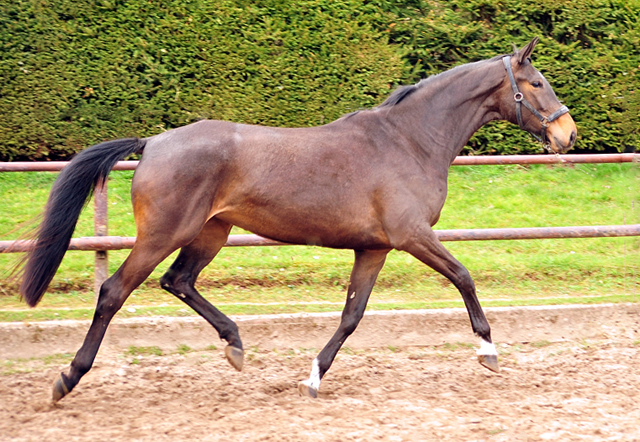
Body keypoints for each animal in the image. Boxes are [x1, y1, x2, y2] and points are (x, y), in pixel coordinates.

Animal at [20, 39, 580, 402]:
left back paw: (235, 345)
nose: (568, 134)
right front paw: (488, 350)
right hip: (163, 234)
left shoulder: (374, 248)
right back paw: (67, 379)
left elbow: (352, 315)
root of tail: (153, 142)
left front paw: (313, 377)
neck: (409, 140)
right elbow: (464, 275)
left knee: (178, 281)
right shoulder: (412, 236)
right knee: (115, 291)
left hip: (212, 232)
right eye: (537, 83)